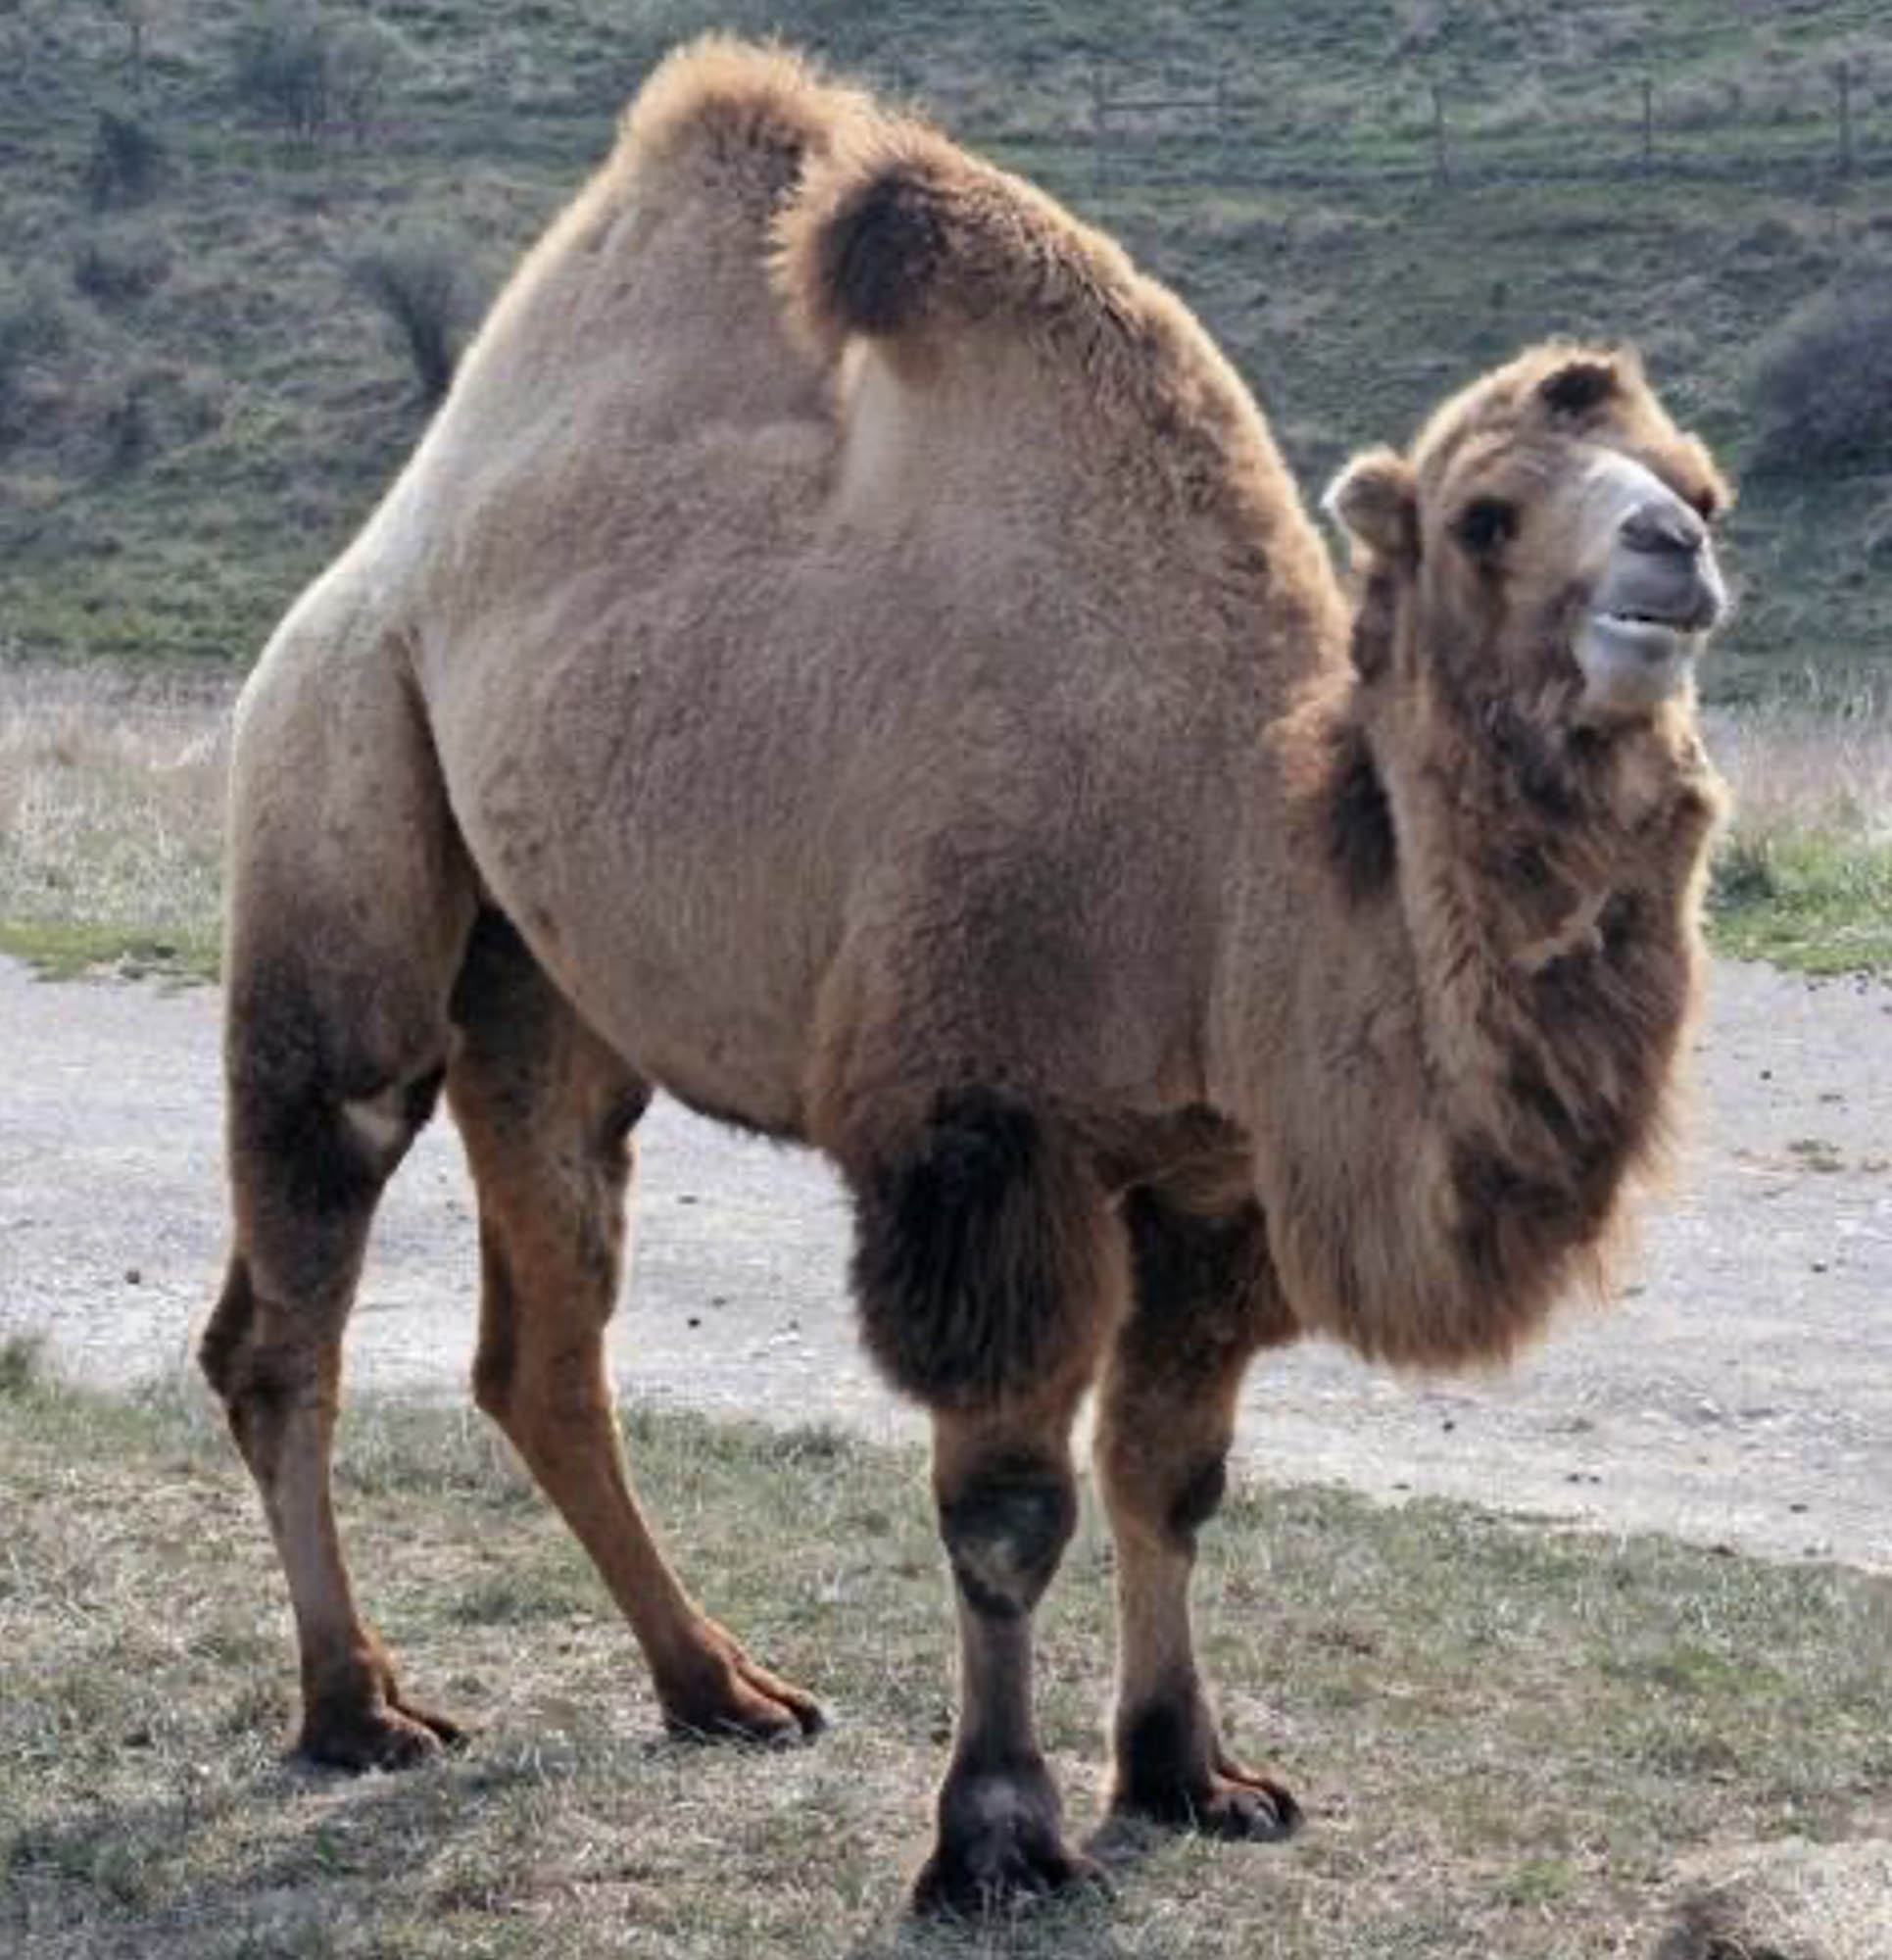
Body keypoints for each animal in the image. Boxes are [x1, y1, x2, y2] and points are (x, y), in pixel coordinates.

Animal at [201, 38, 1734, 1913]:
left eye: (1696, 481)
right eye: (1485, 515)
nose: (1674, 559)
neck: (1222, 856)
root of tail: (372, 557)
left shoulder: (1215, 1169)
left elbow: (1170, 1470)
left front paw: (1190, 1773)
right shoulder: (982, 1128)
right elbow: (1007, 1505)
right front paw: (997, 1838)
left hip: (547, 988)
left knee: (542, 1335)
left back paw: (716, 1686)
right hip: (339, 771)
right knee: (303, 1246)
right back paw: (356, 1708)